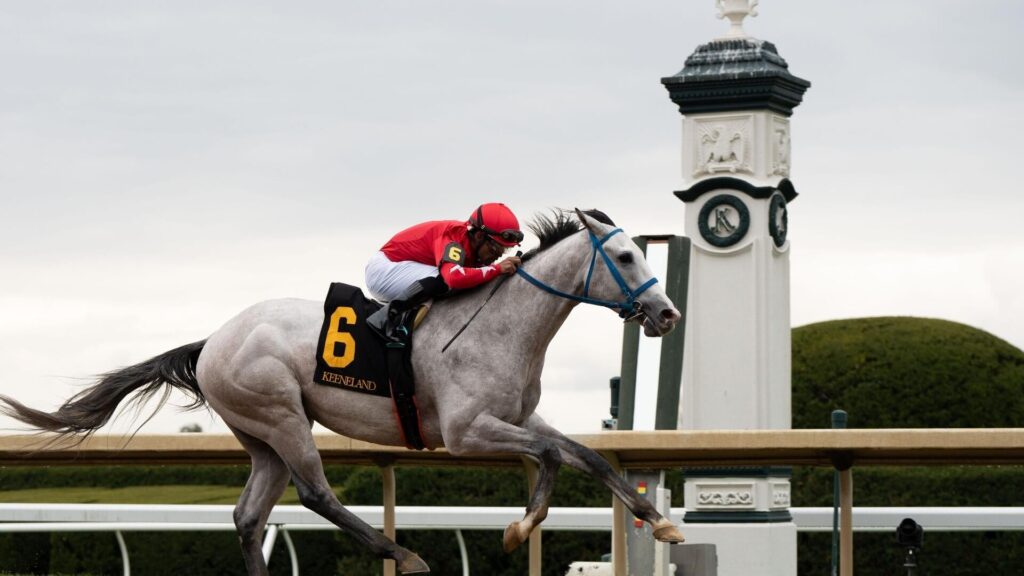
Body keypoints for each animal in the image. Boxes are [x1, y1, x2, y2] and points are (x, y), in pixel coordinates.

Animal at [0, 208, 684, 574]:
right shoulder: (466, 432)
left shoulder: (523, 416)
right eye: (626, 256)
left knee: (250, 514)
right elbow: (548, 459)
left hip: (260, 436)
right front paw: (520, 529)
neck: (502, 325)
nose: (667, 313)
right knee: (315, 493)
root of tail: (213, 340)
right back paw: (404, 555)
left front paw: (660, 524)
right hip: (280, 416)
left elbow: (587, 456)